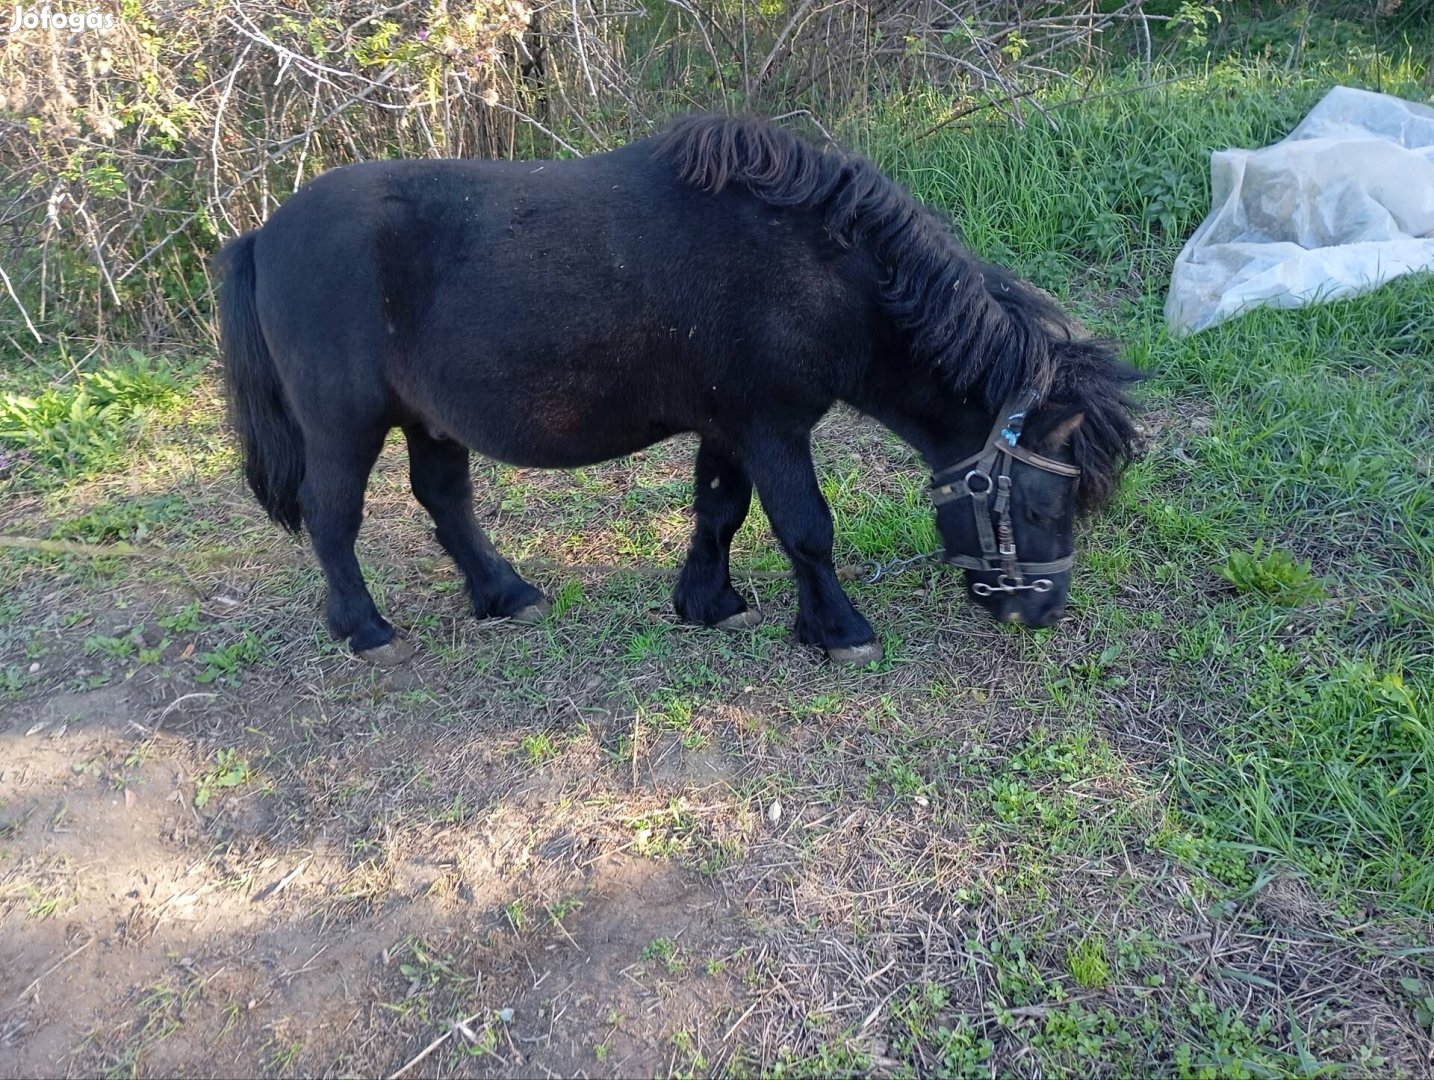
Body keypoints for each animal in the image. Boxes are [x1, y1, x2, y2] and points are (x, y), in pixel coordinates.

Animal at [212, 114, 1141, 662]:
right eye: (1041, 500)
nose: (1041, 612)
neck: (818, 269)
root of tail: (262, 235)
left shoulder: (729, 426)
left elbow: (719, 511)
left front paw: (708, 601)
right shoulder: (773, 427)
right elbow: (806, 528)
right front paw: (839, 631)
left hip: (428, 420)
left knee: (445, 500)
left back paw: (505, 594)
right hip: (345, 424)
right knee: (334, 518)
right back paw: (366, 629)